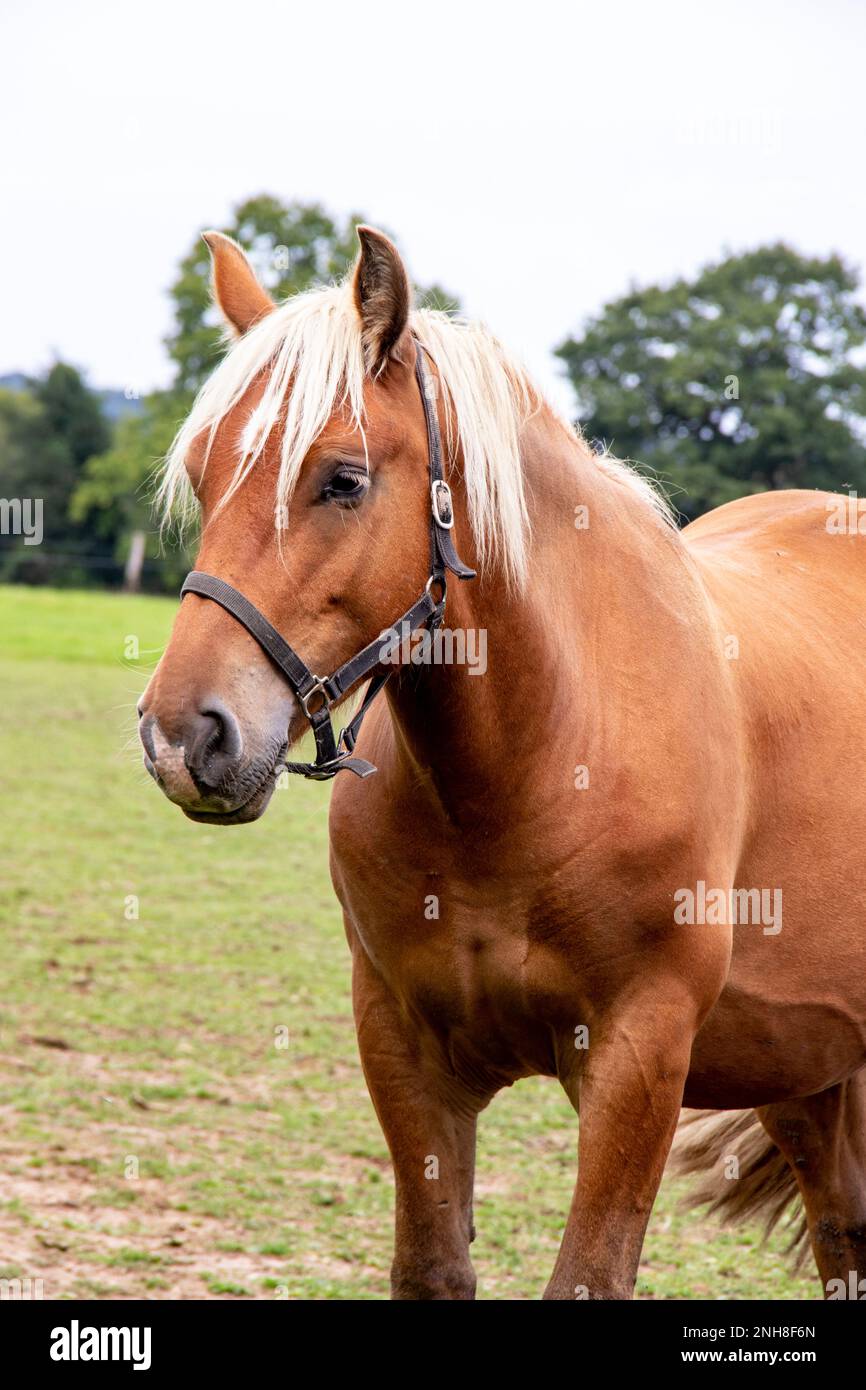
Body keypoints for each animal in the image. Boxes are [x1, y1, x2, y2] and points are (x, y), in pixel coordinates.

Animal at [139, 225, 866, 1300]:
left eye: (342, 479)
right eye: (202, 472)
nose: (184, 737)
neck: (533, 762)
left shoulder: (640, 1059)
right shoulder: (404, 1049)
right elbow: (432, 1266)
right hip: (806, 1068)